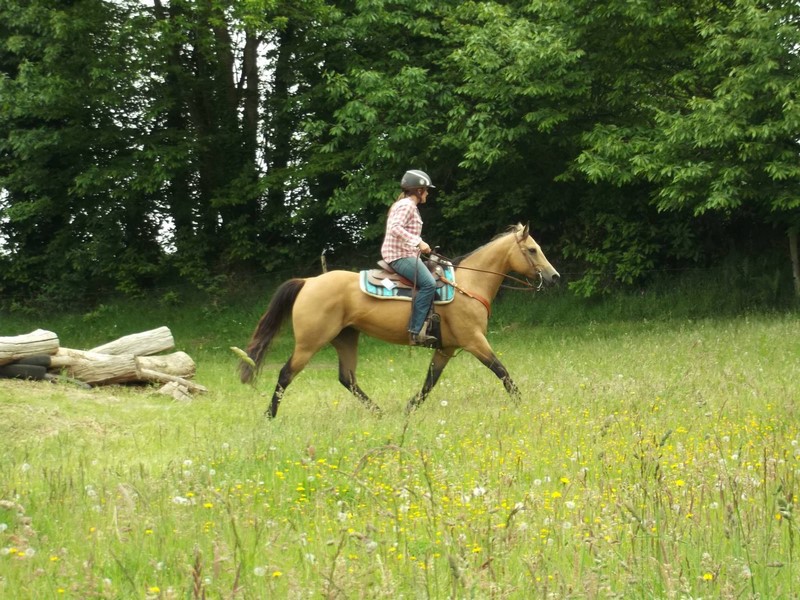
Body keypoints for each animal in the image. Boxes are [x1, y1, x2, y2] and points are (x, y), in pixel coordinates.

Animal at [239, 223, 560, 417]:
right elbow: (501, 371)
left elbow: (430, 381)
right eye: (532, 250)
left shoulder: (446, 348)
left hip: (346, 337)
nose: (554, 276)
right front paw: (522, 403)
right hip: (310, 342)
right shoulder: (473, 341)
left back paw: (379, 412)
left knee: (347, 378)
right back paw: (269, 416)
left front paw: (409, 409)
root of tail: (308, 282)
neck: (469, 284)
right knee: (285, 374)